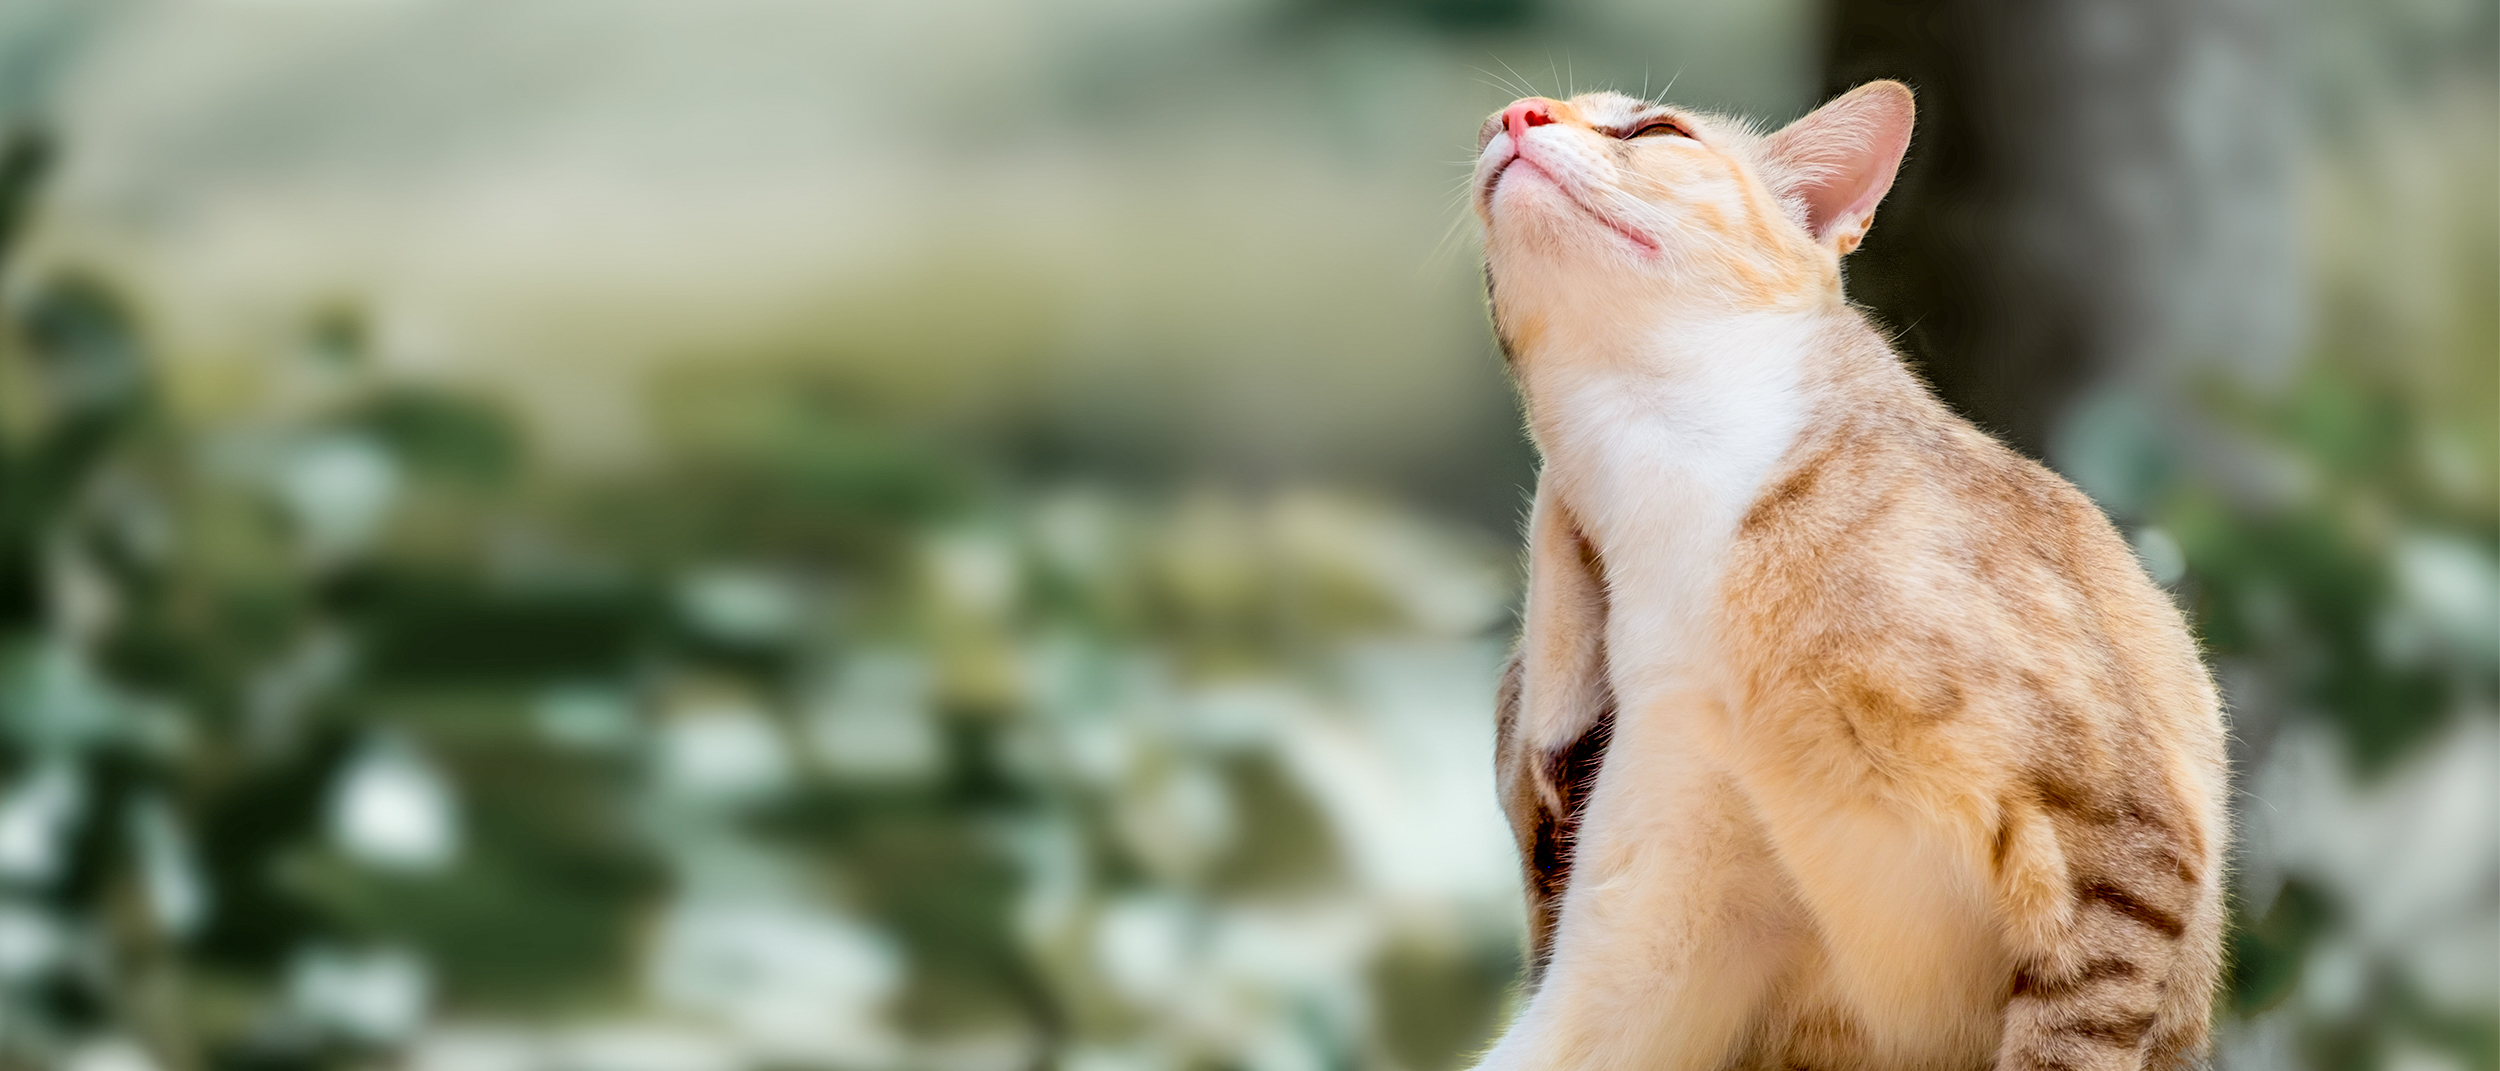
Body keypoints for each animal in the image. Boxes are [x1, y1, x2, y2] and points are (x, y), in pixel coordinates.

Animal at [1470, 77, 2220, 1071]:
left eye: (1654, 129)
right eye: (1496, 123)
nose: (1515, 113)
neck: (1670, 491)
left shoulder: (2123, 839)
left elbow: (2063, 1043)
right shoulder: (1655, 918)